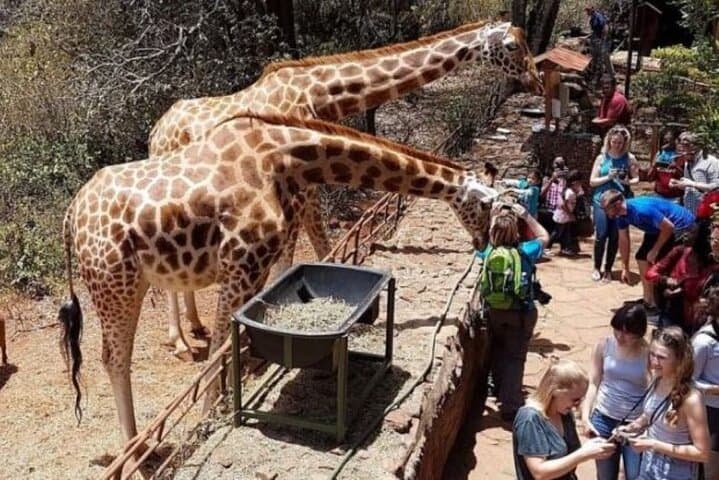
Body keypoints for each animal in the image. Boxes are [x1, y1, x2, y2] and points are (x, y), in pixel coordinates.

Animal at [59, 112, 500, 453]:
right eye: (484, 204)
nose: (484, 242)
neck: (283, 160)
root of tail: (71, 215)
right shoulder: (240, 262)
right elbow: (220, 349)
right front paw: (210, 416)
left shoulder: (259, 263)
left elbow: (242, 337)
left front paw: (246, 381)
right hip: (115, 282)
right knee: (113, 358)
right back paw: (136, 449)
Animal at [148, 21, 543, 359]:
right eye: (512, 46)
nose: (537, 81)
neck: (322, 94)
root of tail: (157, 130)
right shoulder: (295, 188)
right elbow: (298, 251)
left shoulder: (306, 183)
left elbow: (319, 245)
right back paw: (179, 341)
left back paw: (196, 326)